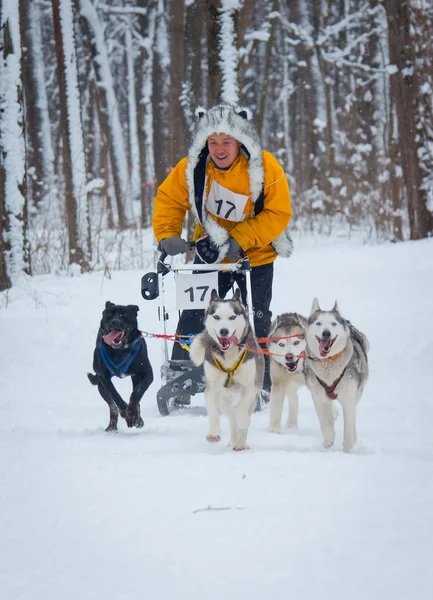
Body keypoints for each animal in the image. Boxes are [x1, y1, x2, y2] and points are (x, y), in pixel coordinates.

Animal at [189, 288, 264, 448]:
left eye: (232, 317)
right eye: (216, 317)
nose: (224, 331)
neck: (229, 357)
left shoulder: (251, 387)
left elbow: (242, 409)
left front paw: (243, 421)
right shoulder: (211, 388)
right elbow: (212, 411)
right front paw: (213, 433)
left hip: (253, 399)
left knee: (242, 414)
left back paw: (240, 443)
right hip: (223, 398)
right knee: (231, 416)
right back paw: (234, 439)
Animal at [304, 298, 368, 452]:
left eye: (333, 324)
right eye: (318, 323)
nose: (326, 333)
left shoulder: (349, 399)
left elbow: (348, 429)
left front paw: (347, 450)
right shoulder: (319, 399)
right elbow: (327, 428)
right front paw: (328, 446)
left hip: (357, 393)